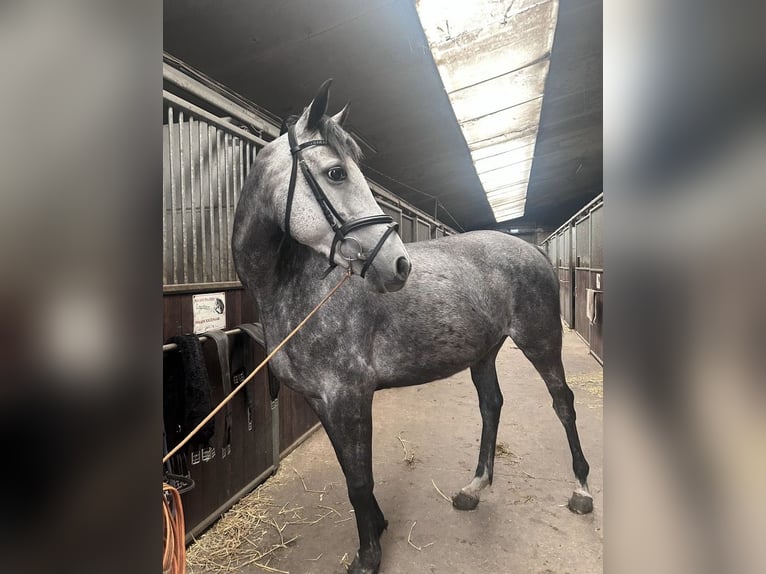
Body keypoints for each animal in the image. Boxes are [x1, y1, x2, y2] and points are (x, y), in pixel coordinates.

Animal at [232, 80, 593, 574]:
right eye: (335, 173)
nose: (397, 264)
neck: (297, 288)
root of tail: (532, 249)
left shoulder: (349, 395)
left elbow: (359, 480)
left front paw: (368, 555)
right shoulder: (320, 401)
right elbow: (350, 470)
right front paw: (378, 526)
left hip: (540, 341)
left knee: (563, 402)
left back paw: (582, 490)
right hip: (485, 351)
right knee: (492, 405)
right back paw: (473, 488)